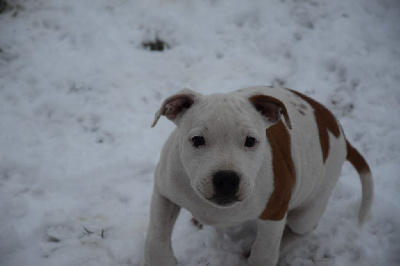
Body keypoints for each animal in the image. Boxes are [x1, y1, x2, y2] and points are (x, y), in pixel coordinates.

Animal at [142, 86, 374, 264]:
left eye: (250, 141)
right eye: (197, 140)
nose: (226, 179)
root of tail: (338, 130)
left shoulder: (275, 213)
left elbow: (263, 253)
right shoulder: (164, 192)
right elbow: (156, 237)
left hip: (308, 209)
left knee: (303, 230)